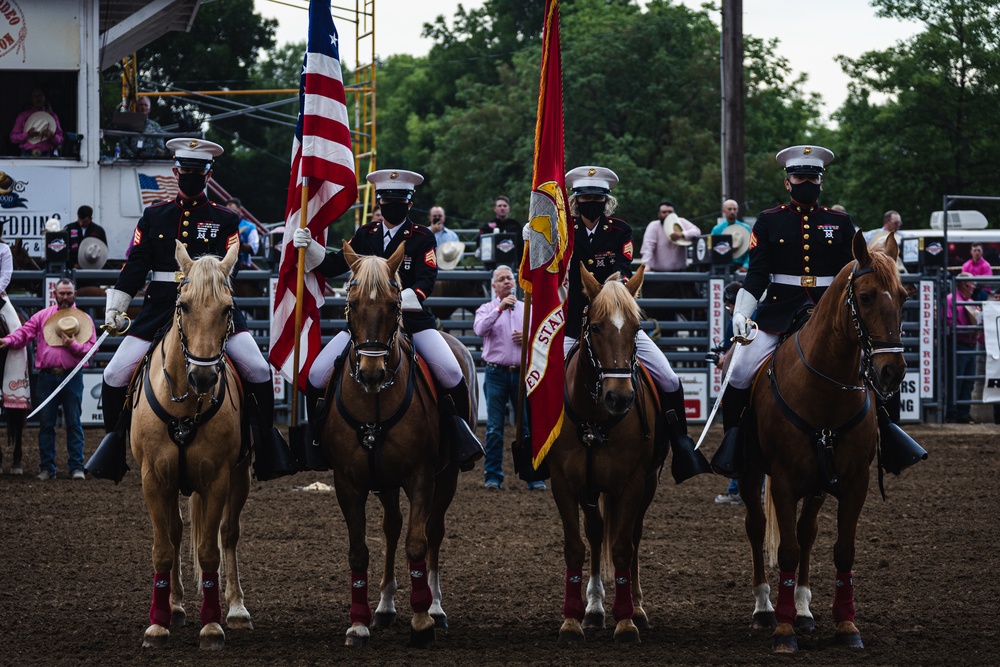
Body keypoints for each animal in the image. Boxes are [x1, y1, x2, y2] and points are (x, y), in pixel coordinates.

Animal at [130, 243, 252, 648]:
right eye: (183, 305)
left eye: (228, 308)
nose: (203, 377)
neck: (185, 406)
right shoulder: (153, 479)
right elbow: (163, 549)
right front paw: (157, 624)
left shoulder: (216, 480)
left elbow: (209, 551)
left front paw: (212, 625)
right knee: (176, 531)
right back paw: (176, 606)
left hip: (239, 477)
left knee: (228, 534)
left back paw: (236, 609)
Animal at [322, 243, 474, 648]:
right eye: (351, 303)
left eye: (394, 305)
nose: (372, 373)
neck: (374, 402)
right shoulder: (348, 483)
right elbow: (359, 551)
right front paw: (358, 624)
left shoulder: (421, 477)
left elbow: (417, 543)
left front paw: (421, 621)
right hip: (385, 482)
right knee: (391, 528)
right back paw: (385, 607)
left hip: (446, 477)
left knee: (432, 531)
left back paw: (435, 608)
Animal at [548, 266, 664, 648]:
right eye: (595, 327)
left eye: (636, 328)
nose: (620, 397)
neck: (595, 419)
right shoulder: (565, 484)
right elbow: (576, 545)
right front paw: (571, 620)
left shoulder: (632, 484)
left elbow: (624, 547)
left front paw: (626, 621)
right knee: (597, 534)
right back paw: (595, 607)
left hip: (648, 484)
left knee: (633, 537)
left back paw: (637, 608)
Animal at [744, 234, 908, 652]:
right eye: (865, 296)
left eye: (903, 296)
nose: (892, 371)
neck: (823, 388)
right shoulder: (784, 482)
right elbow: (785, 550)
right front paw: (783, 631)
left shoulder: (855, 483)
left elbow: (842, 551)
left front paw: (846, 625)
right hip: (751, 475)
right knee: (757, 527)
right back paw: (765, 609)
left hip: (818, 484)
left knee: (807, 532)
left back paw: (802, 611)